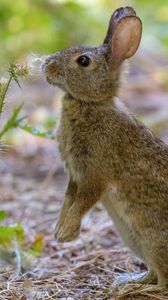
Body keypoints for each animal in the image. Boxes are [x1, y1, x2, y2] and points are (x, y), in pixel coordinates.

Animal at [42, 6, 168, 288]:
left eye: (83, 61)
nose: (46, 65)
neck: (90, 105)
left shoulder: (95, 173)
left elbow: (84, 200)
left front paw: (66, 232)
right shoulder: (75, 174)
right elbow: (69, 198)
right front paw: (60, 231)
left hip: (152, 237)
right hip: (136, 241)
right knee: (154, 273)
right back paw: (129, 281)